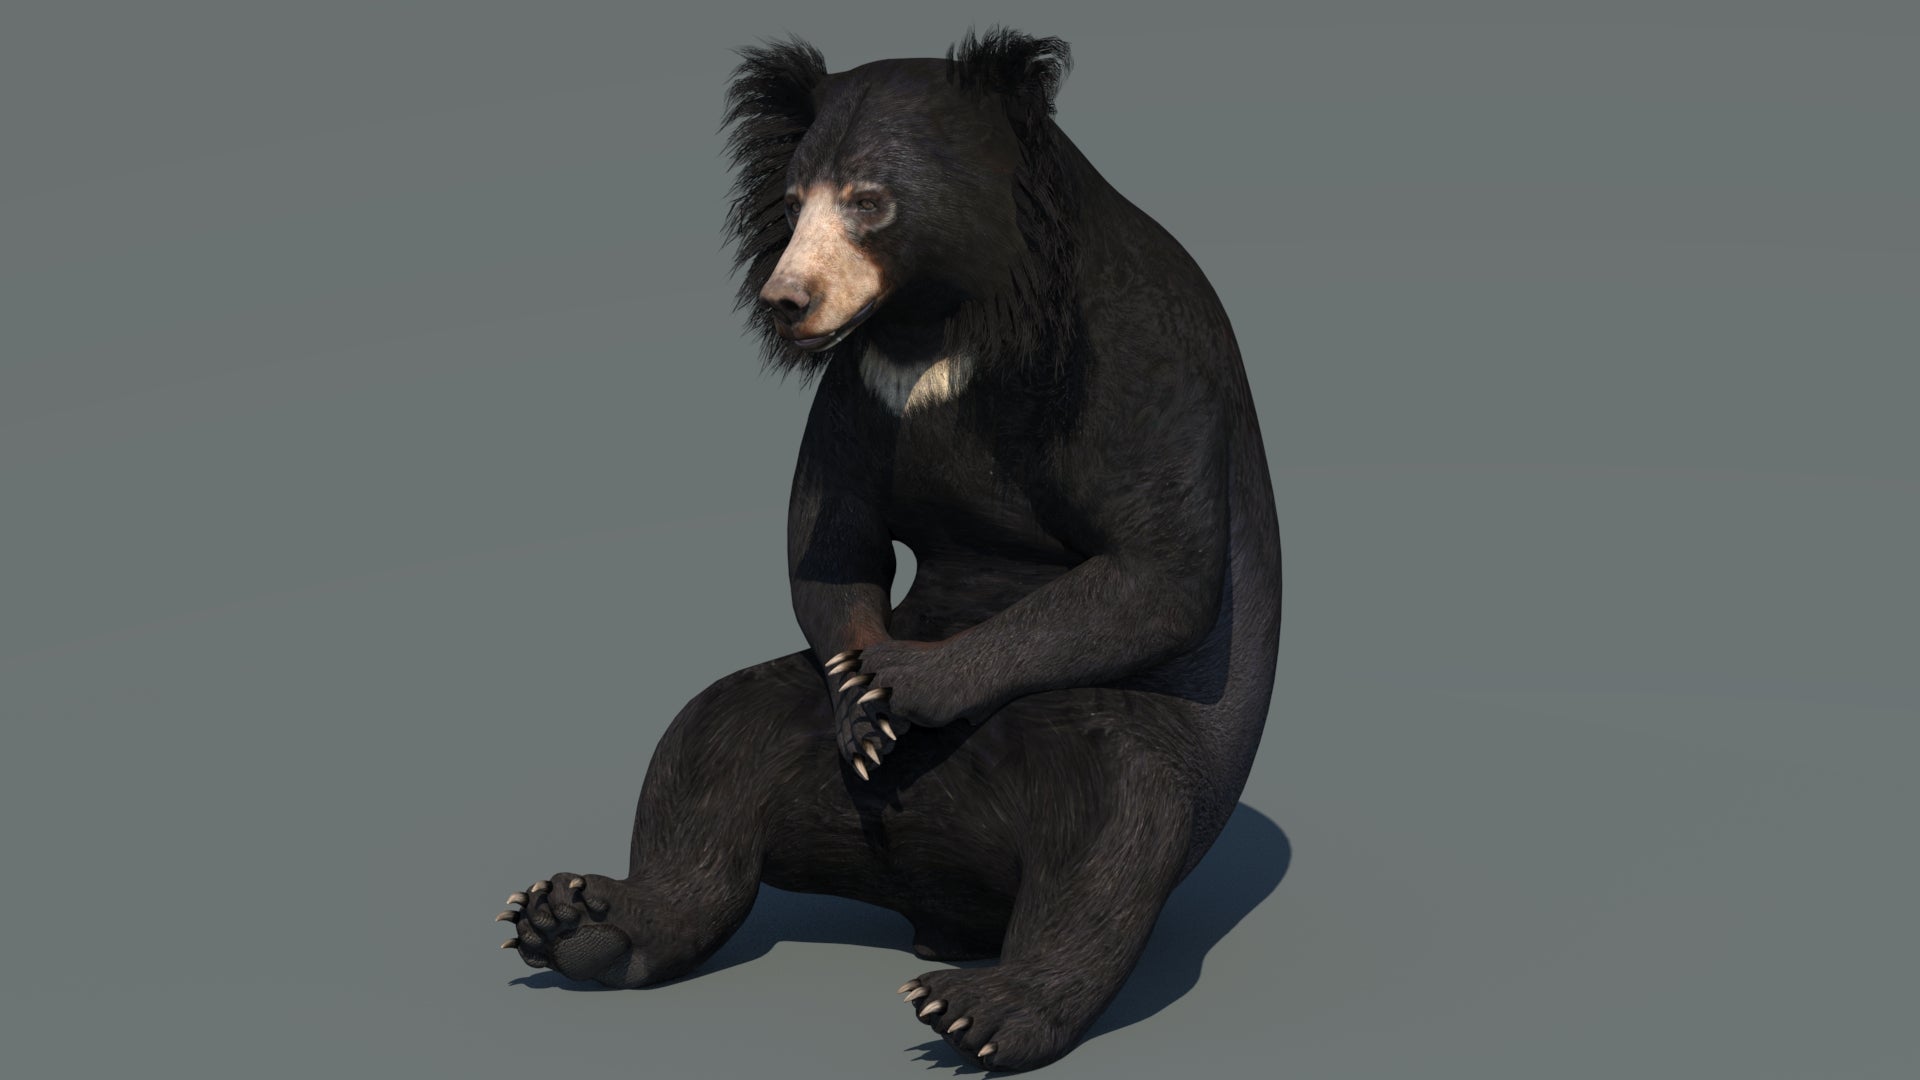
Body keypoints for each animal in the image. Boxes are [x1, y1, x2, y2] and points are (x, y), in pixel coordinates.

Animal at [495, 28, 1282, 1073]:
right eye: (793, 204)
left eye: (869, 200)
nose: (786, 300)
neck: (948, 317)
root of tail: (930, 898)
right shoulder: (861, 381)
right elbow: (830, 542)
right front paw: (862, 713)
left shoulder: (1135, 351)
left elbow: (1156, 567)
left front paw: (903, 683)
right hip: (785, 748)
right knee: (709, 753)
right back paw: (574, 918)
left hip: (1140, 740)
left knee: (1113, 821)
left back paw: (977, 1006)